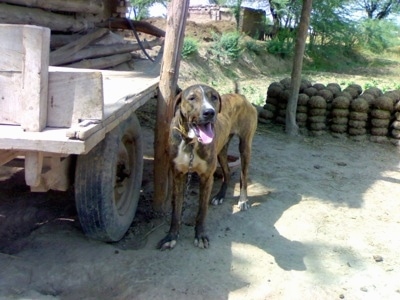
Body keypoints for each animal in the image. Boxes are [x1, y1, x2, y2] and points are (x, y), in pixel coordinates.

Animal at [158, 83, 258, 250]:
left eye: (214, 97)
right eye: (192, 98)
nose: (209, 112)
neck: (190, 142)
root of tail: (241, 97)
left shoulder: (206, 177)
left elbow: (202, 211)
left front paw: (200, 236)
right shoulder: (178, 176)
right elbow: (176, 211)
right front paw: (171, 236)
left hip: (245, 147)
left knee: (243, 176)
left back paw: (243, 200)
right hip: (221, 151)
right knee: (227, 172)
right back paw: (220, 196)